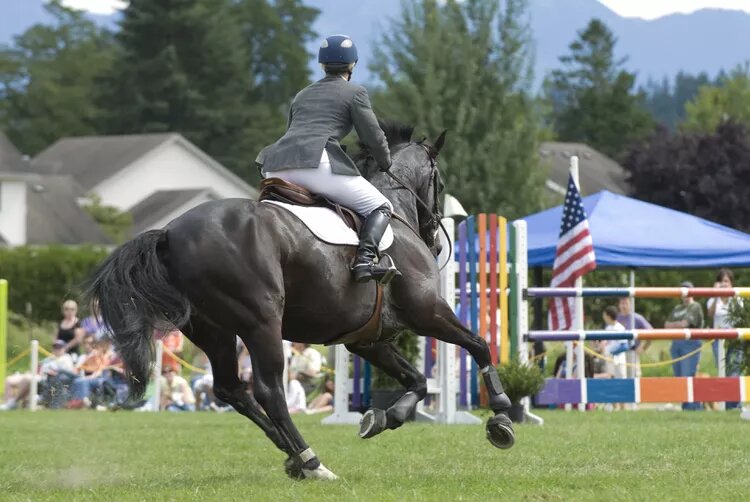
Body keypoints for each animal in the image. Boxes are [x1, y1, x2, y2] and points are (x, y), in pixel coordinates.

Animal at [85, 122, 516, 482]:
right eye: (439, 183)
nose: (437, 241)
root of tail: (170, 233)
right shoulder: (427, 312)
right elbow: (479, 345)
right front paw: (501, 415)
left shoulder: (367, 340)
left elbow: (418, 381)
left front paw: (385, 417)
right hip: (261, 323)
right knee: (269, 391)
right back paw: (312, 462)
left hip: (214, 331)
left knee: (230, 389)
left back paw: (292, 454)